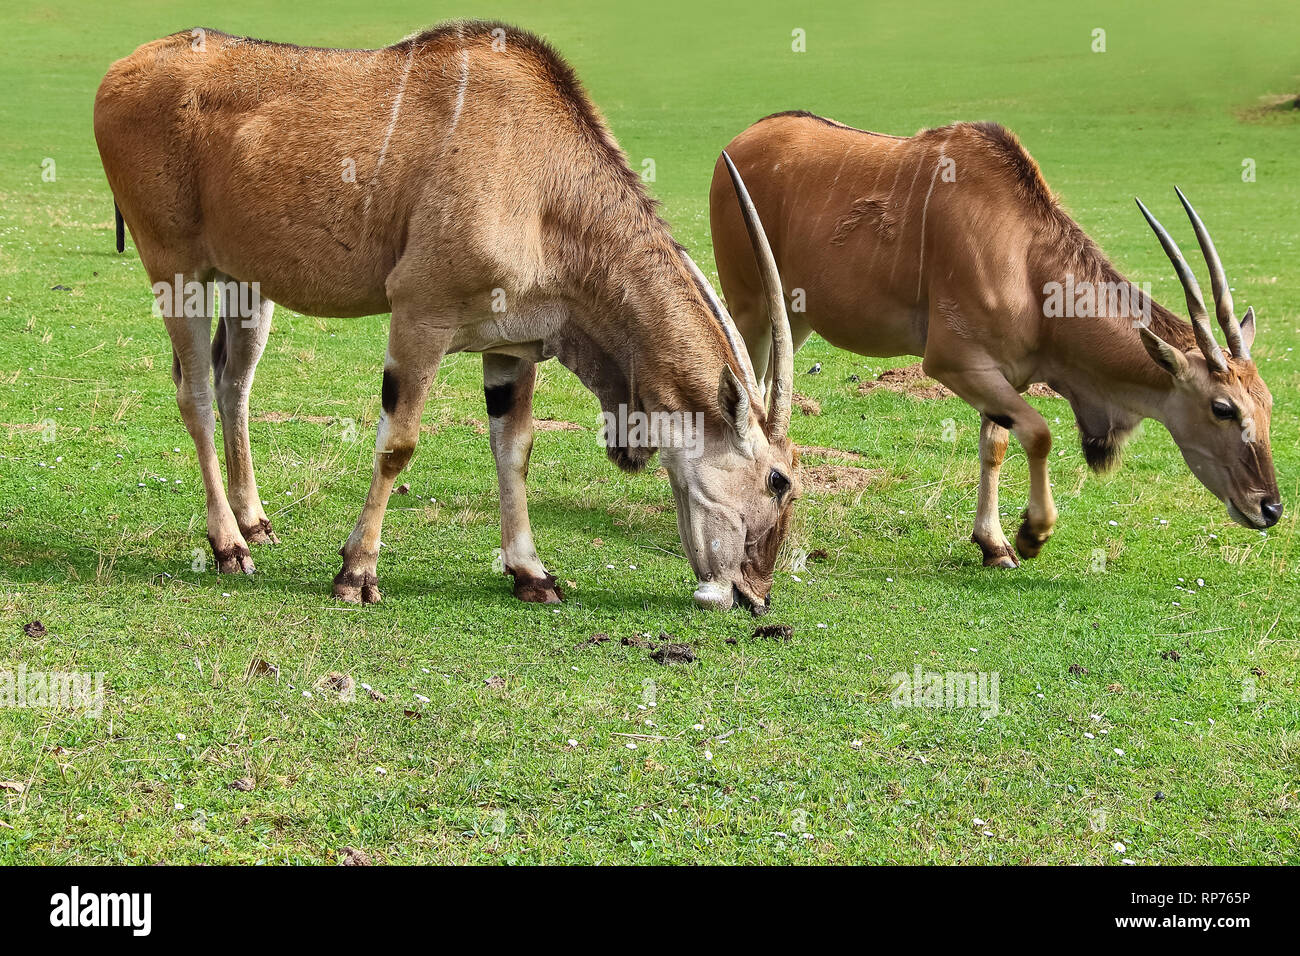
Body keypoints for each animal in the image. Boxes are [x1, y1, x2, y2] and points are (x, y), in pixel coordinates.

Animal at [93, 22, 799, 612]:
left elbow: (514, 449)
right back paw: (227, 545)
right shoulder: (420, 316)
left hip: (247, 284)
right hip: (177, 271)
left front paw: (530, 573)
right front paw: (356, 573)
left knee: (233, 382)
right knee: (194, 392)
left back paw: (254, 522)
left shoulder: (511, 348)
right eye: (778, 480)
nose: (755, 594)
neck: (545, 184)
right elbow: (398, 443)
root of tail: (121, 69)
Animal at [711, 113, 1281, 567]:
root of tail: (738, 142)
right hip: (750, 308)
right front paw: (1030, 534)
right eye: (1223, 408)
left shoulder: (1004, 376)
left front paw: (993, 544)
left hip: (794, 318)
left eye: (1270, 404)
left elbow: (997, 444)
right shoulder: (954, 363)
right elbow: (1040, 433)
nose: (1270, 507)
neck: (1027, 259)